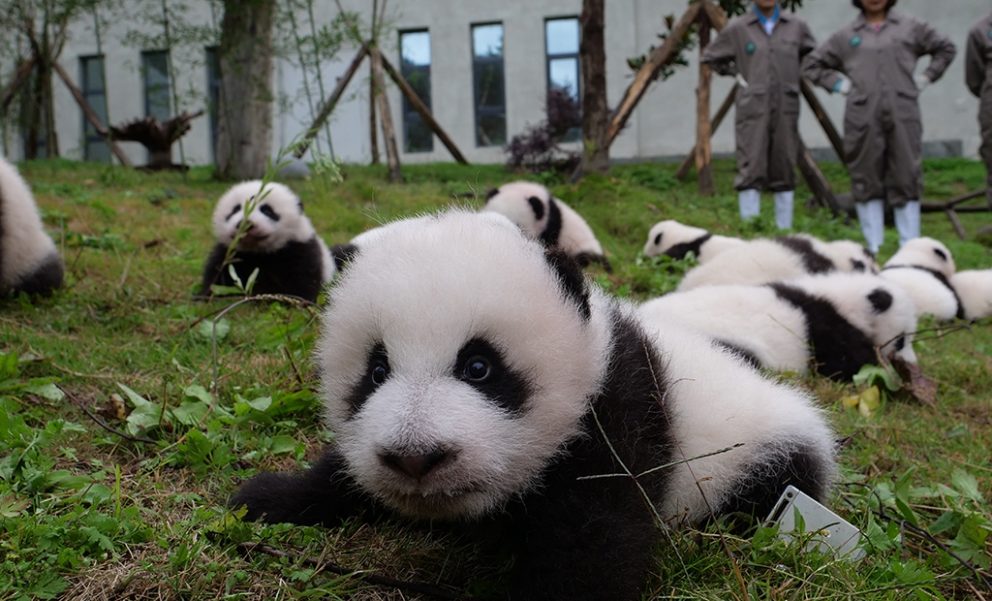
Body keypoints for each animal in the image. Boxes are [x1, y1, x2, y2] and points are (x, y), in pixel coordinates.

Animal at [199, 181, 333, 302]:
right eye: (236, 209)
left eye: (267, 210)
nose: (246, 224)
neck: (257, 252)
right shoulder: (229, 253)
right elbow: (217, 274)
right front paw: (207, 296)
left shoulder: (299, 248)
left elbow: (302, 278)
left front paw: (293, 299)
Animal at [230, 210, 836, 600]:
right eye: (376, 371)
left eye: (479, 367)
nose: (415, 457)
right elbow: (342, 470)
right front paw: (268, 497)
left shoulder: (616, 414)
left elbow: (594, 540)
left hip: (766, 461)